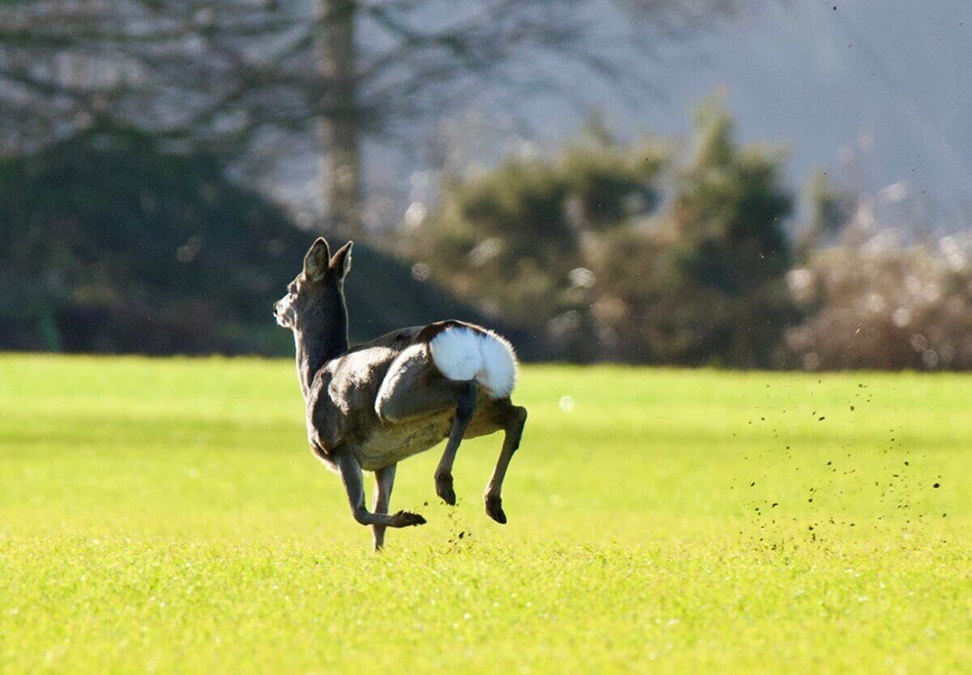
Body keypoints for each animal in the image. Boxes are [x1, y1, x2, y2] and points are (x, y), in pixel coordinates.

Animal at [274, 237, 528, 550]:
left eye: (291, 288)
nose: (276, 308)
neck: (315, 376)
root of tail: (474, 341)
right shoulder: (386, 459)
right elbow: (377, 514)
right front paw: (379, 553)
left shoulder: (338, 444)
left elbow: (359, 513)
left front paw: (409, 517)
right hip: (486, 403)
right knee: (516, 414)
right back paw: (492, 504)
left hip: (396, 396)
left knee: (466, 394)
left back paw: (445, 484)